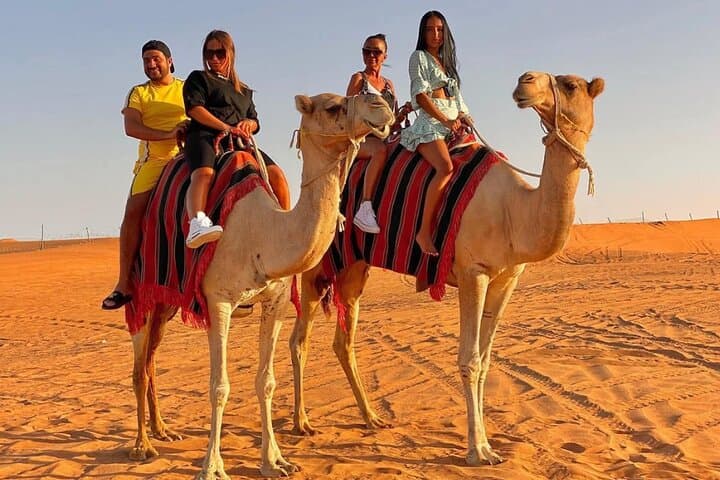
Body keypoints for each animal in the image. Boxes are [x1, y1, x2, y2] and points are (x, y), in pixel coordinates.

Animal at [128, 92, 394, 479]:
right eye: (332, 106)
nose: (381, 103)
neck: (262, 235)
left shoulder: (276, 300)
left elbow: (266, 382)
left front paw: (275, 461)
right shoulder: (218, 300)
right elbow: (219, 386)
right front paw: (212, 466)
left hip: (168, 301)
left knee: (149, 361)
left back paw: (163, 430)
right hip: (141, 290)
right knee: (138, 365)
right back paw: (142, 445)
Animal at [289, 71, 605, 465]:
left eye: (570, 85)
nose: (525, 81)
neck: (515, 212)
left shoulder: (506, 279)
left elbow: (485, 361)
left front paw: (487, 443)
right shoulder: (474, 272)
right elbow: (469, 360)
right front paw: (478, 450)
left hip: (354, 268)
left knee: (343, 340)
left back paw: (372, 417)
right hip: (316, 264)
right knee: (299, 339)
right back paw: (302, 423)